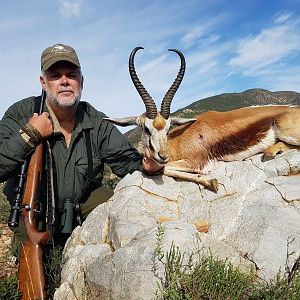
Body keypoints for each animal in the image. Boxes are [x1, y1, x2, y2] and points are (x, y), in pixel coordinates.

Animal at [105, 47, 300, 192]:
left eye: (168, 128)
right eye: (146, 129)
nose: (163, 156)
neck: (177, 143)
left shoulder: (196, 162)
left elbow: (166, 169)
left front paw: (211, 182)